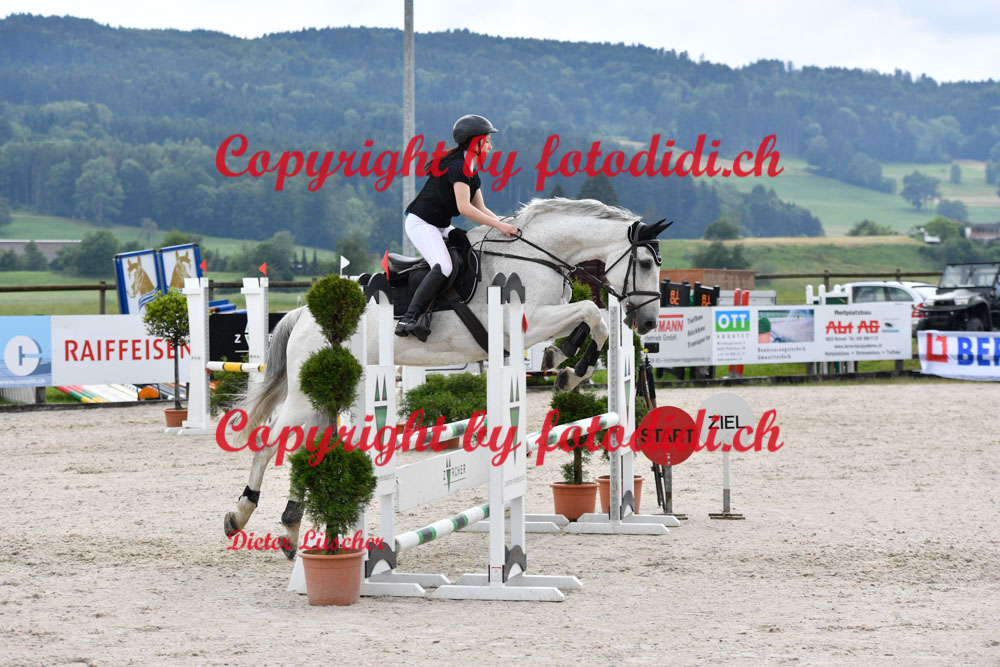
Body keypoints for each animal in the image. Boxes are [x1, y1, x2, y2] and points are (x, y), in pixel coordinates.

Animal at [223, 197, 671, 557]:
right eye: (645, 264)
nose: (649, 322)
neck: (536, 257)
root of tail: (303, 313)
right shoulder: (524, 322)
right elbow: (593, 313)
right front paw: (570, 369)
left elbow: (590, 321)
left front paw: (564, 366)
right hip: (307, 393)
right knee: (269, 443)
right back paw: (241, 514)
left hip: (325, 392)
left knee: (300, 448)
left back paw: (290, 529)